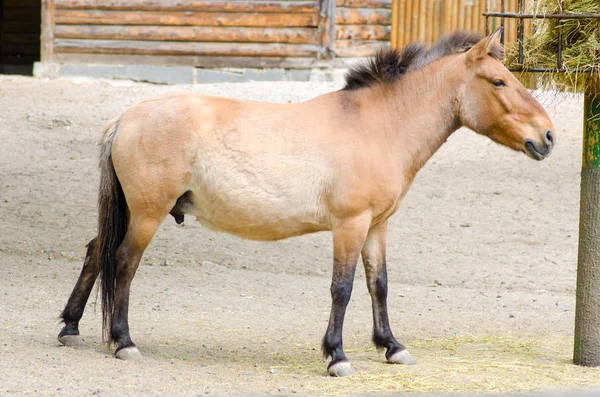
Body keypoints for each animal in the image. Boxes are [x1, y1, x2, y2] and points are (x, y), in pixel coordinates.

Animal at [58, 29, 556, 376]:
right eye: (499, 82)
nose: (548, 137)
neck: (379, 125)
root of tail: (125, 117)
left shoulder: (377, 227)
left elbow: (379, 285)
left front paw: (392, 347)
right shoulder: (350, 225)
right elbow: (343, 288)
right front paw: (337, 356)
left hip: (130, 211)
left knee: (95, 253)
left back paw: (70, 327)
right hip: (148, 213)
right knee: (123, 262)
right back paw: (123, 342)